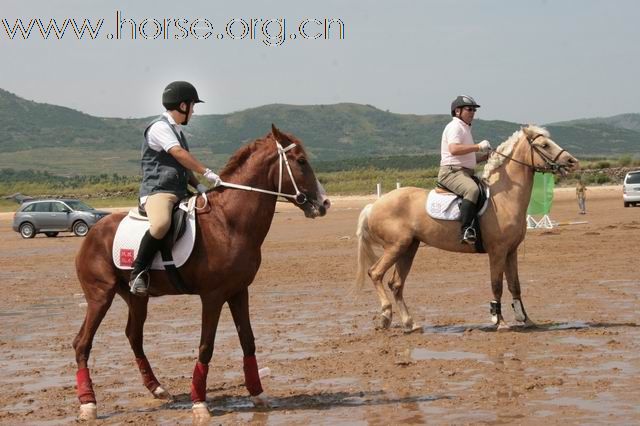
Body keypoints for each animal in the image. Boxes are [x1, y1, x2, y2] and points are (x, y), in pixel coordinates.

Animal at [72, 125, 330, 422]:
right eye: (301, 161)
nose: (324, 203)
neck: (229, 222)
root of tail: (94, 231)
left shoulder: (239, 291)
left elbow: (248, 341)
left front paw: (258, 394)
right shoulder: (213, 296)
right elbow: (206, 346)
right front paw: (199, 403)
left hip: (137, 297)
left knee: (134, 336)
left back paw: (157, 389)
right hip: (100, 296)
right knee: (82, 343)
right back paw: (88, 404)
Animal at [356, 125, 580, 332]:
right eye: (544, 145)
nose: (572, 162)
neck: (505, 196)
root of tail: (373, 205)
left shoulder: (511, 251)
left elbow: (515, 285)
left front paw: (525, 319)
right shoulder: (497, 251)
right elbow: (496, 285)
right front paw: (500, 322)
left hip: (409, 248)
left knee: (396, 284)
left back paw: (410, 323)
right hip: (396, 246)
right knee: (375, 273)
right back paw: (386, 316)